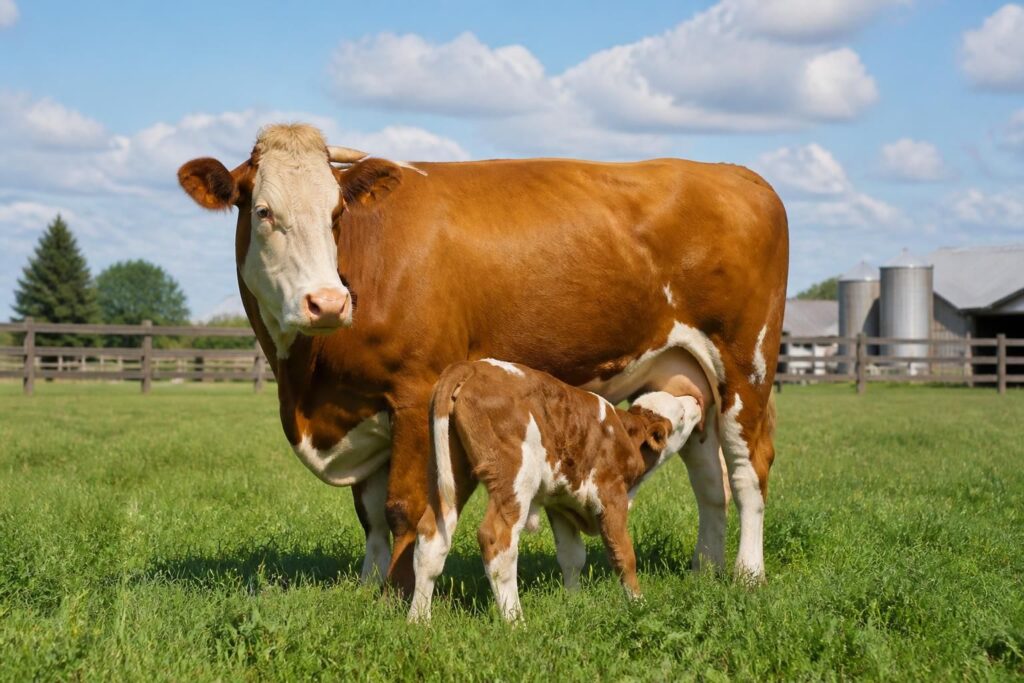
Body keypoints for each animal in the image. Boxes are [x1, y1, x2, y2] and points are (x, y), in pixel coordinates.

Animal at [177, 123, 788, 594]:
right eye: (262, 212)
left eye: (335, 214)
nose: (327, 302)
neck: (309, 386)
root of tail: (736, 174)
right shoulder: (361, 407)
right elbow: (369, 515)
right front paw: (366, 588)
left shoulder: (415, 393)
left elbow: (402, 507)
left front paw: (395, 597)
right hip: (687, 372)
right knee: (709, 480)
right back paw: (704, 570)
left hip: (746, 365)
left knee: (748, 468)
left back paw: (748, 574)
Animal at [408, 359, 705, 622]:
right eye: (680, 415)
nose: (696, 401)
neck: (623, 437)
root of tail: (472, 366)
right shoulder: (611, 497)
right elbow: (623, 555)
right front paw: (638, 604)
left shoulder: (562, 503)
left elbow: (572, 556)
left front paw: (574, 602)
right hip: (515, 478)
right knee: (497, 540)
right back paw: (515, 622)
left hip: (448, 472)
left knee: (432, 535)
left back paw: (418, 621)